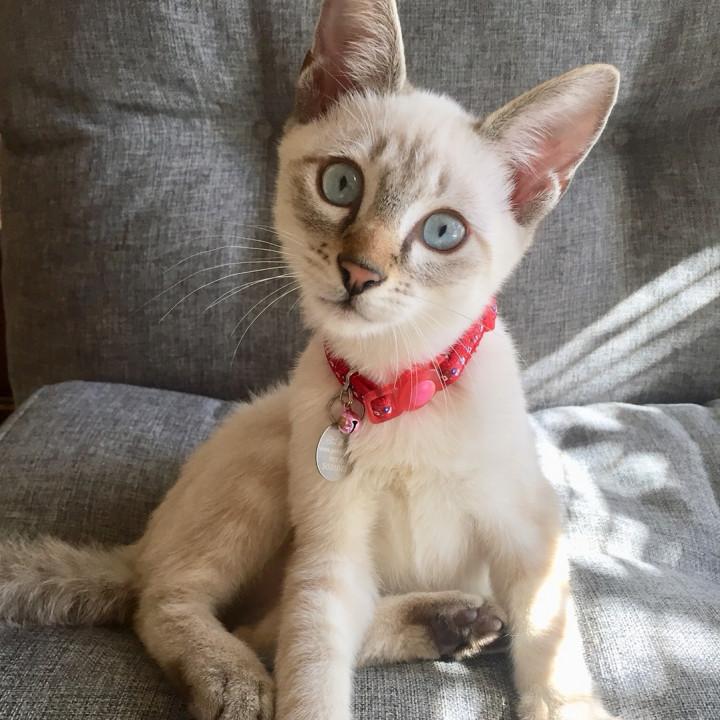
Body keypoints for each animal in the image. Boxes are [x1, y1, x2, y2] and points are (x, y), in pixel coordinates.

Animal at [0, 1, 620, 719]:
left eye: (443, 232)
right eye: (341, 184)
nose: (359, 273)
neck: (395, 384)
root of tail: (139, 543)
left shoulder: (529, 534)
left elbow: (549, 636)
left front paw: (566, 703)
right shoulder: (330, 554)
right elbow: (313, 672)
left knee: (258, 625)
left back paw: (452, 623)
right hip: (266, 463)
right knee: (170, 604)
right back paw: (238, 680)